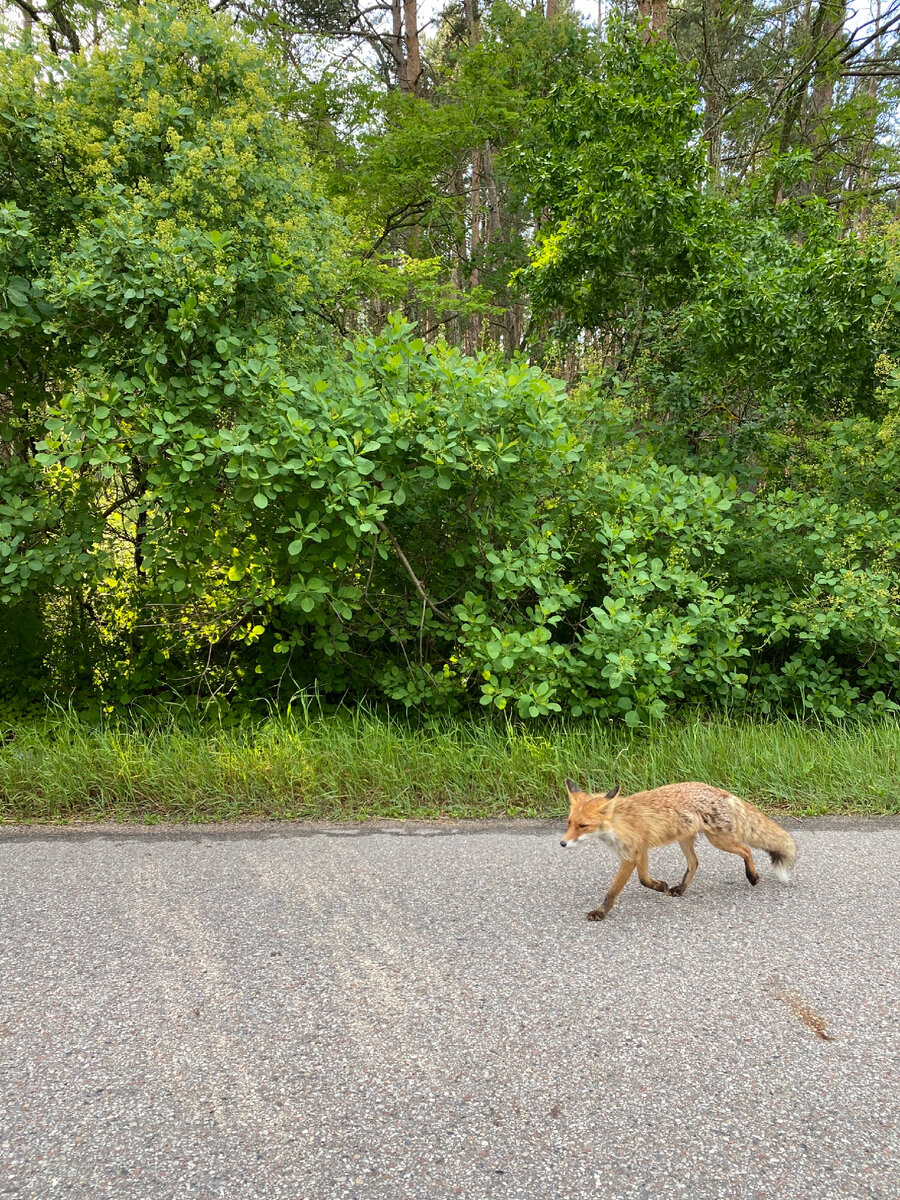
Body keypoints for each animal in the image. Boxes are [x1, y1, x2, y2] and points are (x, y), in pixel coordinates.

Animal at [561, 782, 801, 921]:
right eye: (569, 823)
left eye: (583, 826)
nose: (562, 844)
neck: (617, 823)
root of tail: (721, 790)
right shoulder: (640, 850)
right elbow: (644, 879)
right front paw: (660, 886)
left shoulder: (631, 855)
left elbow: (613, 891)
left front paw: (601, 912)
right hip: (685, 839)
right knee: (695, 863)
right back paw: (681, 889)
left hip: (720, 840)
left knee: (747, 849)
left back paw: (752, 876)